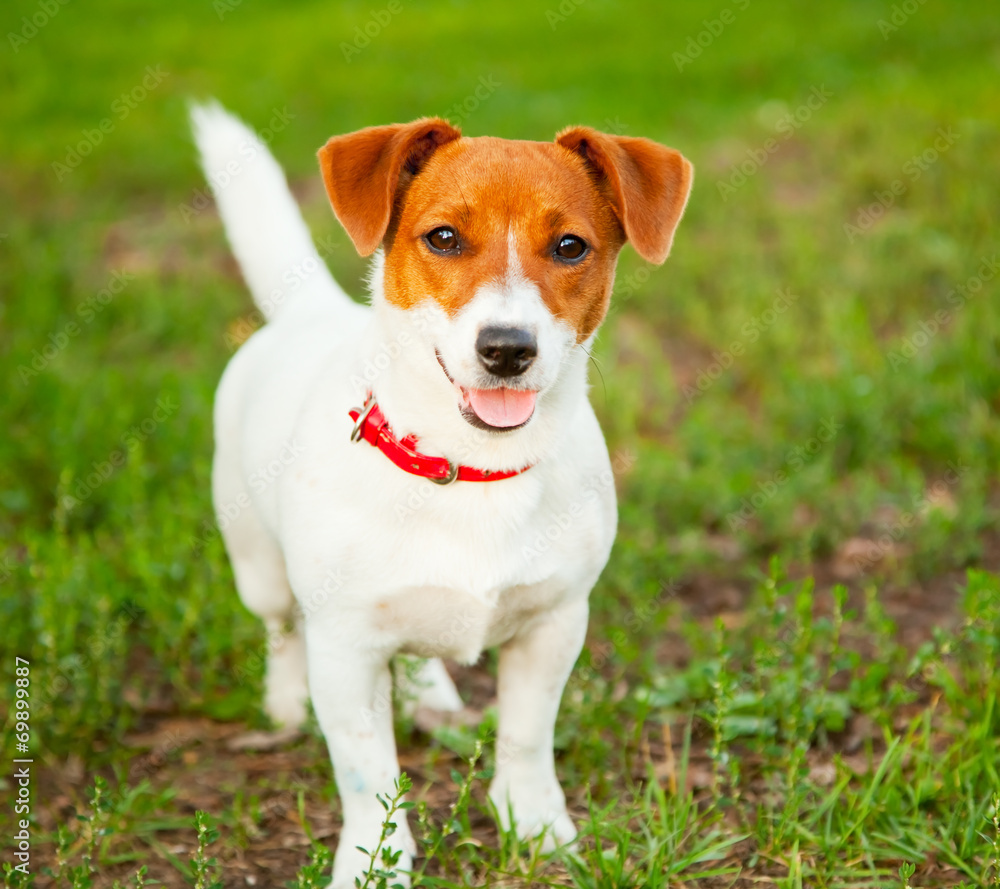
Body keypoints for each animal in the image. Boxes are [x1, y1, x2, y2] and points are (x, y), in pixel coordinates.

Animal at [191, 100, 692, 884]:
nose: (507, 348)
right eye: (444, 237)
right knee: (279, 628)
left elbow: (526, 737)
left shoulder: (555, 622)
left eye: (571, 246)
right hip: (258, 566)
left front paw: (536, 824)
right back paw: (283, 703)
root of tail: (307, 311)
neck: (470, 468)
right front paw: (376, 861)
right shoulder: (344, 648)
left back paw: (432, 696)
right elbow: (368, 774)